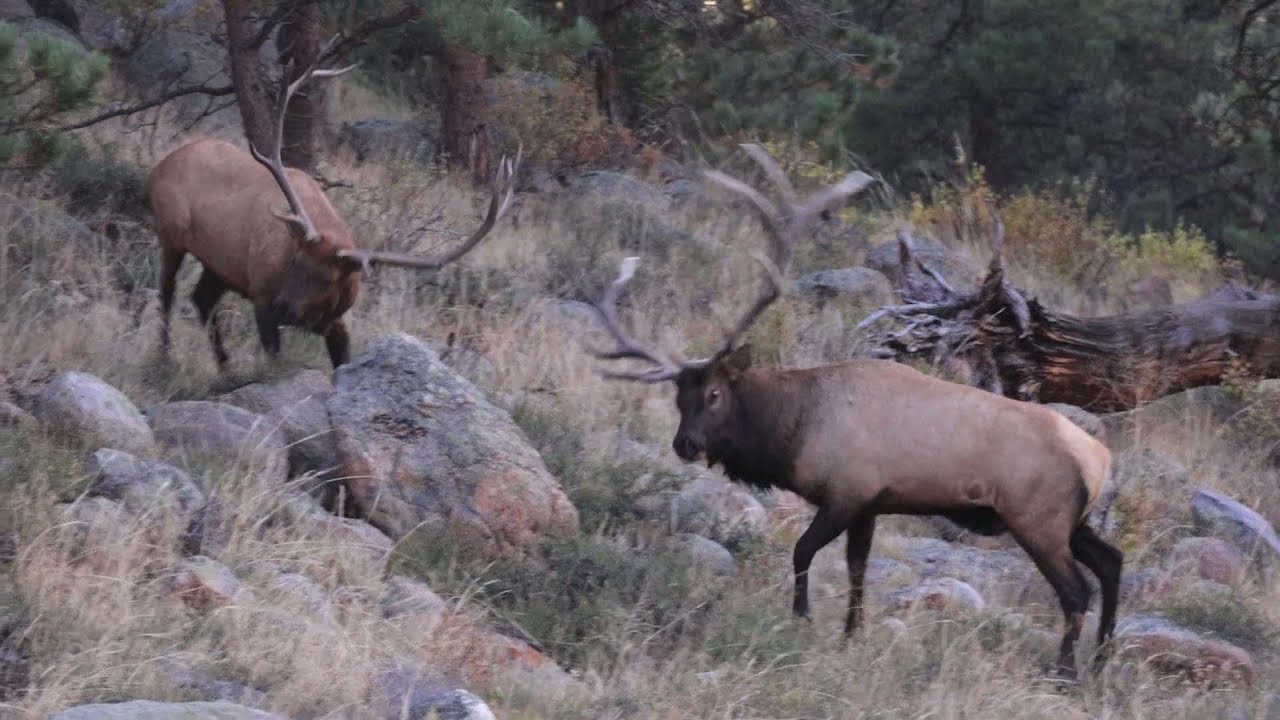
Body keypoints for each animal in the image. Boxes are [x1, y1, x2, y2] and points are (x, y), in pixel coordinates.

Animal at [148, 49, 518, 370]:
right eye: (295, 262)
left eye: (327, 279)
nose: (285, 307)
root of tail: (161, 165)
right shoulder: (261, 294)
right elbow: (274, 359)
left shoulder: (339, 324)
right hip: (171, 234)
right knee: (167, 292)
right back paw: (164, 358)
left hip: (220, 264)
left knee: (201, 299)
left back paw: (225, 368)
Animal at [585, 145, 1123, 681]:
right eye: (679, 397)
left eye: (715, 393)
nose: (686, 443)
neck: (796, 428)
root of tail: (1100, 459)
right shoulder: (871, 503)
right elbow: (857, 568)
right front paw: (851, 634)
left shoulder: (847, 491)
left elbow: (803, 550)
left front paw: (802, 617)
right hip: (1070, 520)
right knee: (1112, 562)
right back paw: (1100, 660)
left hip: (1038, 518)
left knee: (1076, 589)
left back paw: (1066, 672)